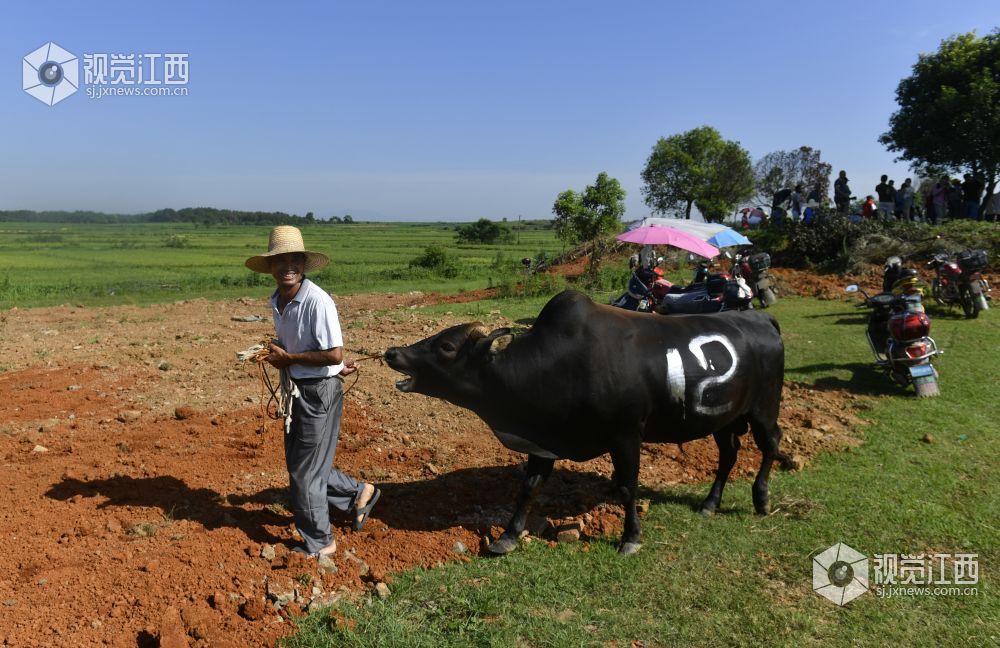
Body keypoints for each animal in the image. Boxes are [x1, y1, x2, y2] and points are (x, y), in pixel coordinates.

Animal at [384, 292, 788, 556]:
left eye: (447, 347)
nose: (392, 352)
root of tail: (760, 318)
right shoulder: (542, 439)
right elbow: (529, 487)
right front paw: (508, 537)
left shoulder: (626, 436)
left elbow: (627, 488)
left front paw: (630, 538)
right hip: (726, 418)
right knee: (729, 454)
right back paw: (710, 503)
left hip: (764, 409)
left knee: (771, 443)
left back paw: (762, 498)